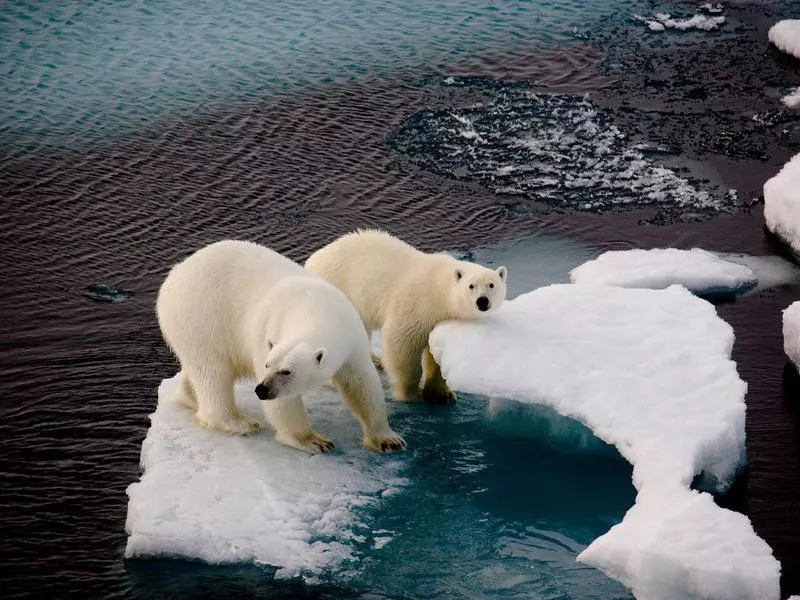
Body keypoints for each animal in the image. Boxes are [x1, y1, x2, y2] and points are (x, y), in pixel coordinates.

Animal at [156, 239, 406, 454]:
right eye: (268, 365)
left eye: (287, 371)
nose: (261, 390)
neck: (316, 308)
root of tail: (174, 275)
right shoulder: (269, 329)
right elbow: (285, 404)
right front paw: (313, 440)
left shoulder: (352, 336)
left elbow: (362, 384)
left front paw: (388, 440)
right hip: (201, 316)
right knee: (213, 372)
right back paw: (239, 422)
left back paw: (189, 397)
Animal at [306, 230, 506, 404]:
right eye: (471, 286)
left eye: (491, 284)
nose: (482, 301)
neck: (439, 289)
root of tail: (311, 261)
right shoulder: (416, 305)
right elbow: (402, 345)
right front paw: (411, 394)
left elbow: (436, 353)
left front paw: (442, 394)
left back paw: (376, 361)